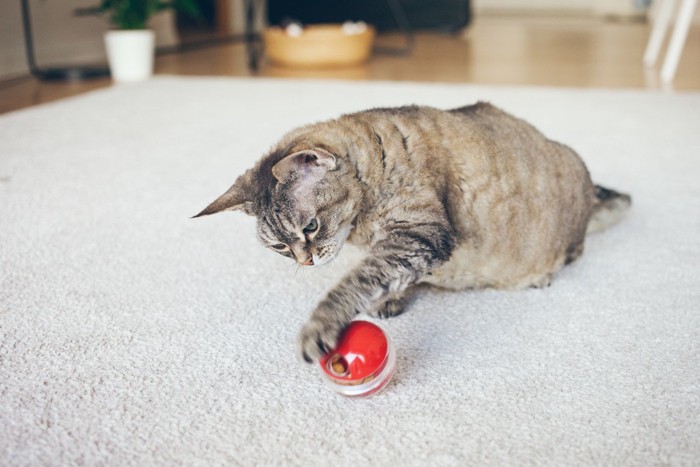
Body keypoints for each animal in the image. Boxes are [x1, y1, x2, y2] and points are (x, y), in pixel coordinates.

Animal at [194, 102, 632, 364]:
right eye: (280, 247)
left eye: (310, 227)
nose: (307, 260)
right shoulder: (408, 247)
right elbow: (383, 275)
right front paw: (391, 295)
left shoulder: (421, 234)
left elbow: (357, 279)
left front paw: (321, 325)